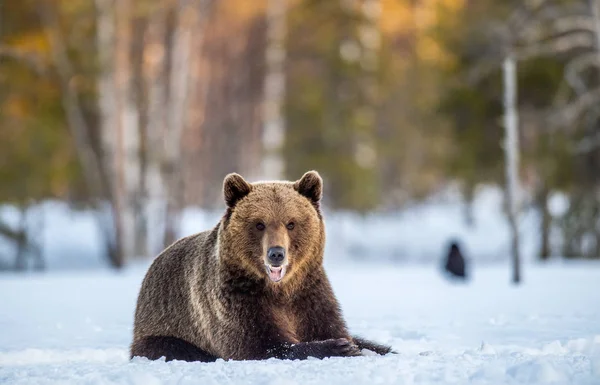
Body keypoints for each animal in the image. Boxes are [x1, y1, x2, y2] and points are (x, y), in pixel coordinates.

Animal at [131, 170, 392, 360]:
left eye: (291, 223)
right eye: (259, 224)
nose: (276, 253)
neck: (280, 289)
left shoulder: (310, 294)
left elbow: (333, 327)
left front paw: (371, 347)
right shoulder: (236, 299)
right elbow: (260, 344)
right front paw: (336, 347)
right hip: (164, 327)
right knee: (174, 347)